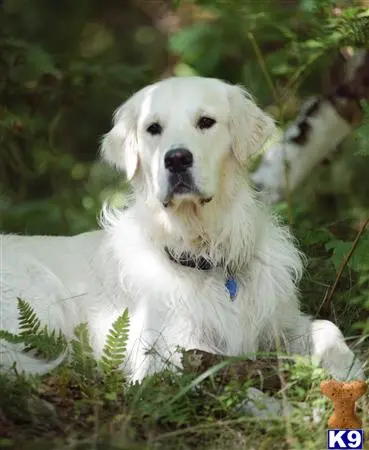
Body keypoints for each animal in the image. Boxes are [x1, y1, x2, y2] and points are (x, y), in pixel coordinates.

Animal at [0, 75, 362, 382]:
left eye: (206, 122)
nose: (176, 159)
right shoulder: (167, 350)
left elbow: (327, 327)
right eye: (153, 128)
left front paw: (348, 367)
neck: (204, 250)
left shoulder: (281, 320)